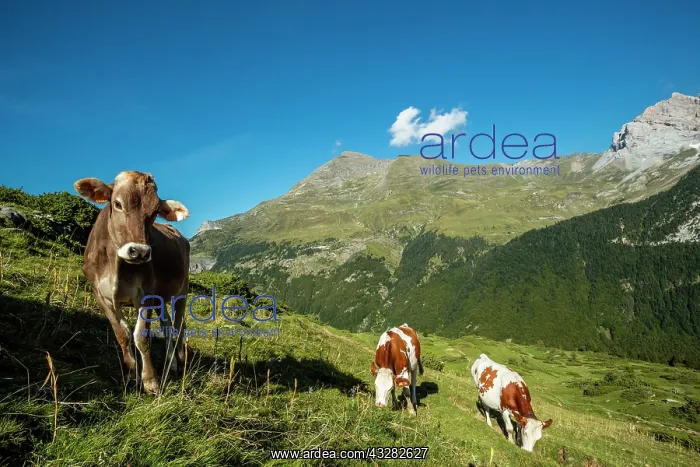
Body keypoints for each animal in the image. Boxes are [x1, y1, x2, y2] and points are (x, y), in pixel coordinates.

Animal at [74, 171, 190, 395]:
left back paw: (179, 361)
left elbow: (141, 337)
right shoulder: (100, 295)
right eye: (117, 204)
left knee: (178, 325)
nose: (140, 252)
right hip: (160, 298)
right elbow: (122, 334)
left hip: (182, 291)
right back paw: (170, 364)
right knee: (166, 326)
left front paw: (150, 381)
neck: (116, 266)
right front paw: (132, 372)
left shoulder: (145, 294)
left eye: (155, 212)